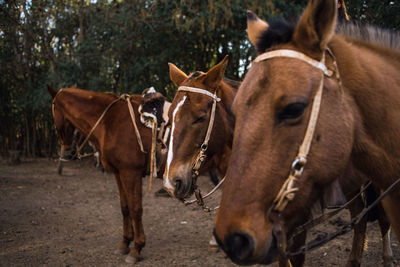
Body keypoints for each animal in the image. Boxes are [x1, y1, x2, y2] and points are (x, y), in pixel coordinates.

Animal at [47, 86, 168, 264]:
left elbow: (135, 209)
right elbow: (125, 208)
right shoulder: (119, 173)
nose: (67, 152)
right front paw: (125, 243)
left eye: (54, 113)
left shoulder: (131, 173)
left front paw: (137, 248)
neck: (110, 122)